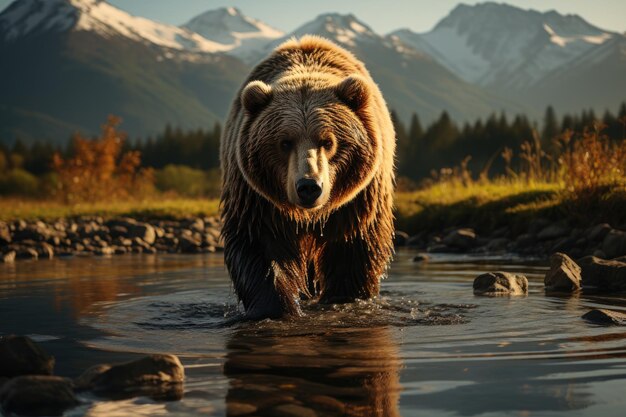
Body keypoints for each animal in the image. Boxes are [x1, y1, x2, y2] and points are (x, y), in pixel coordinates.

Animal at [221, 35, 394, 318]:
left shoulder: (357, 203)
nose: (309, 186)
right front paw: (276, 306)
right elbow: (260, 248)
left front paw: (347, 297)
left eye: (328, 141)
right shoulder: (258, 201)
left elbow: (354, 251)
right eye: (284, 142)